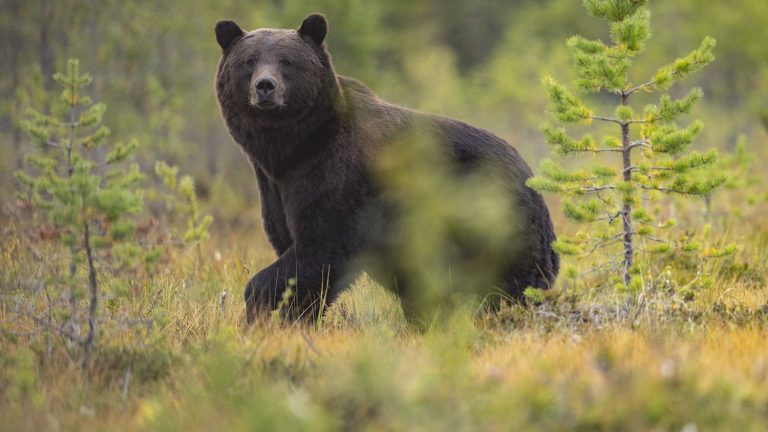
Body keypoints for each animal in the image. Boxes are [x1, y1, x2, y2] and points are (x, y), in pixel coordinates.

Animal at [213, 14, 560, 324]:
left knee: (508, 280)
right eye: (249, 61)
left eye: (287, 62)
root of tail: (531, 177)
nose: (265, 86)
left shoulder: (336, 180)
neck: (291, 148)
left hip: (487, 216)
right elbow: (297, 255)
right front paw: (292, 319)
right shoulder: (275, 186)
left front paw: (260, 310)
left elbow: (319, 249)